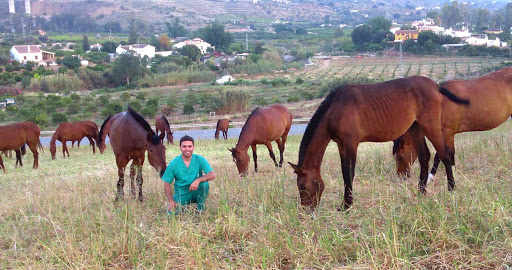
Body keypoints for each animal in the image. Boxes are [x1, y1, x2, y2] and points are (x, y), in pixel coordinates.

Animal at [286, 75, 470, 211]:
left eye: (303, 186)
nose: (306, 210)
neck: (336, 109)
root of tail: (435, 86)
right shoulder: (341, 144)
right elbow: (345, 172)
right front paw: (345, 204)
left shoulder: (351, 143)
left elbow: (349, 173)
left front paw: (347, 205)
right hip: (416, 128)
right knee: (425, 156)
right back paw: (421, 191)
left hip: (430, 126)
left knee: (444, 154)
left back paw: (451, 189)